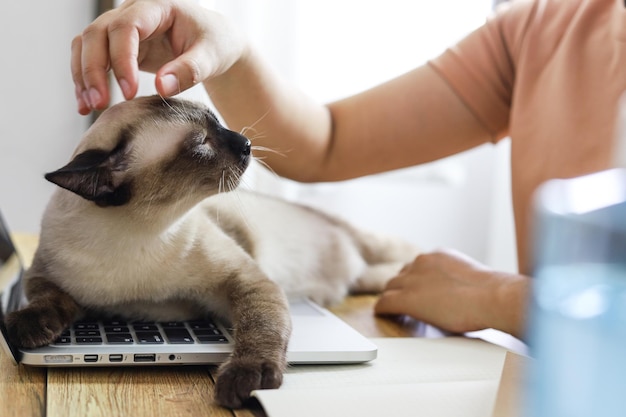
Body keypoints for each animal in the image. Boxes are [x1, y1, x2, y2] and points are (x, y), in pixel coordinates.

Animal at [4, 93, 416, 406]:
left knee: (396, 254)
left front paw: (247, 379)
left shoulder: (244, 282)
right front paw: (26, 328)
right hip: (364, 276)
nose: (246, 143)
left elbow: (259, 327)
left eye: (218, 123)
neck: (136, 234)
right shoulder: (44, 275)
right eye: (201, 143)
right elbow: (49, 299)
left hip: (369, 246)